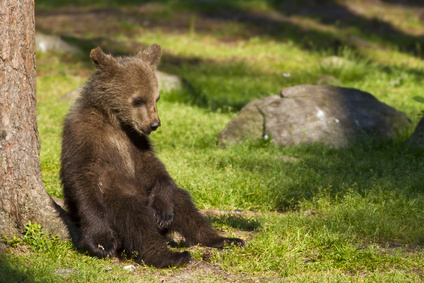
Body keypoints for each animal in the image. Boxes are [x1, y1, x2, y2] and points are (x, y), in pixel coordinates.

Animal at [60, 43, 245, 268]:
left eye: (156, 98)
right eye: (138, 100)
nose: (154, 124)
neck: (113, 120)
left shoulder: (135, 141)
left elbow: (152, 167)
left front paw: (163, 213)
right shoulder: (85, 136)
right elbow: (81, 178)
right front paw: (100, 242)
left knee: (182, 201)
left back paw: (222, 239)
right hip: (117, 198)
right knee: (135, 219)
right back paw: (168, 256)